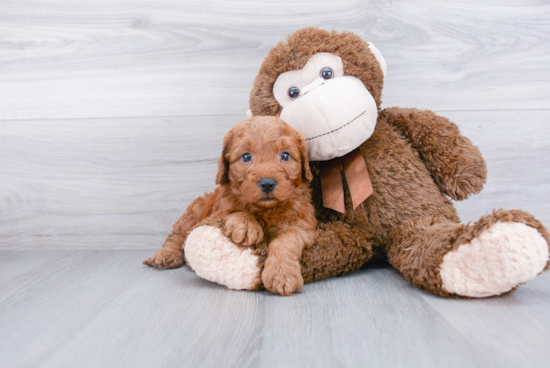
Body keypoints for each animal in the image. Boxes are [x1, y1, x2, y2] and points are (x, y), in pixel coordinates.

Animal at [146, 117, 320, 296]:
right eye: (246, 157)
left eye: (285, 155)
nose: (267, 183)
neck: (265, 209)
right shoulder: (217, 211)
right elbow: (233, 210)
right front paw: (246, 225)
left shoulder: (302, 223)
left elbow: (286, 240)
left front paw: (282, 275)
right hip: (194, 212)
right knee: (176, 235)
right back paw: (165, 255)